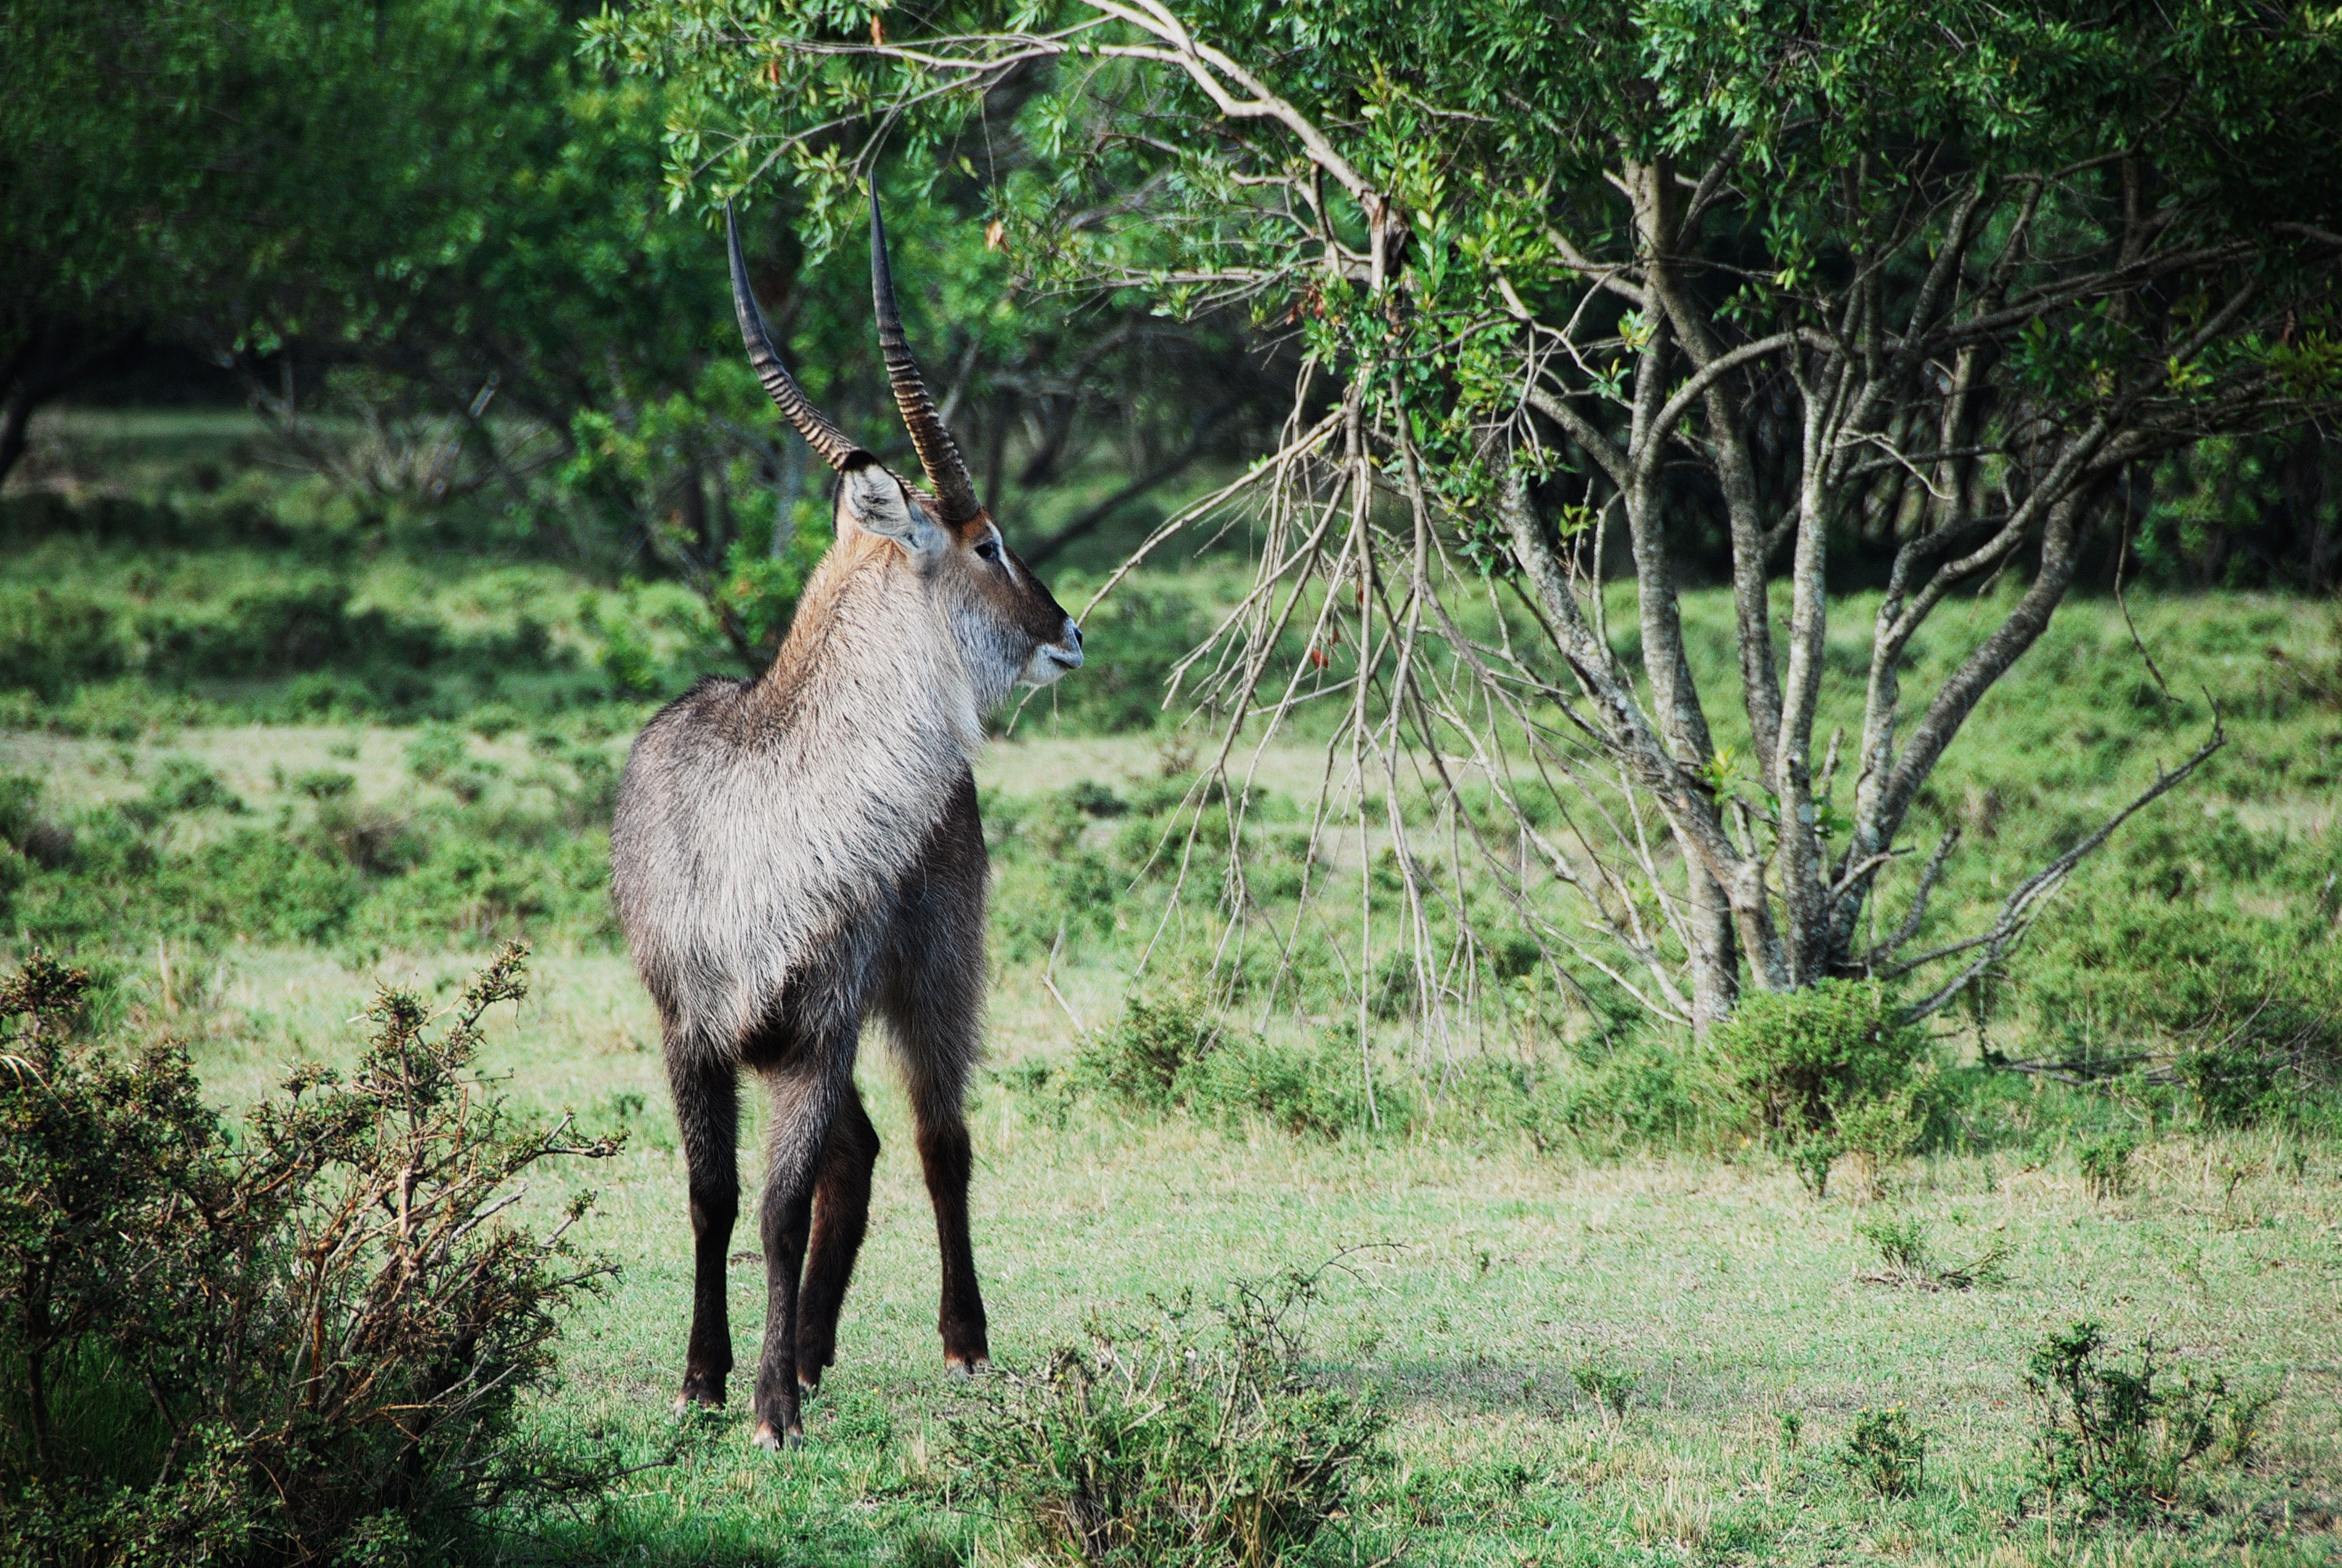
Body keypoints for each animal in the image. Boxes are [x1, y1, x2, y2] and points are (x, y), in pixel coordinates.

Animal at [599, 192, 1082, 1443]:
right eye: (988, 540)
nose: (1069, 630)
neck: (766, 817)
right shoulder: (694, 1032)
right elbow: (714, 1197)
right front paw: (708, 1377)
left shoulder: (819, 1032)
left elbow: (776, 1207)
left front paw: (769, 1405)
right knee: (860, 1156)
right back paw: (815, 1348)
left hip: (934, 977)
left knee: (936, 1142)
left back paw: (959, 1342)